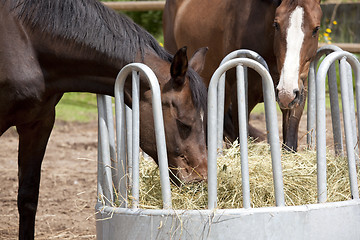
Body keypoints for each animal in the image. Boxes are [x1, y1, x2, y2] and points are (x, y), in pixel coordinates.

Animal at [165, 0, 322, 151]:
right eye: (276, 24)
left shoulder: (298, 91)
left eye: (316, 28)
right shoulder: (240, 94)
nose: (286, 92)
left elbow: (290, 142)